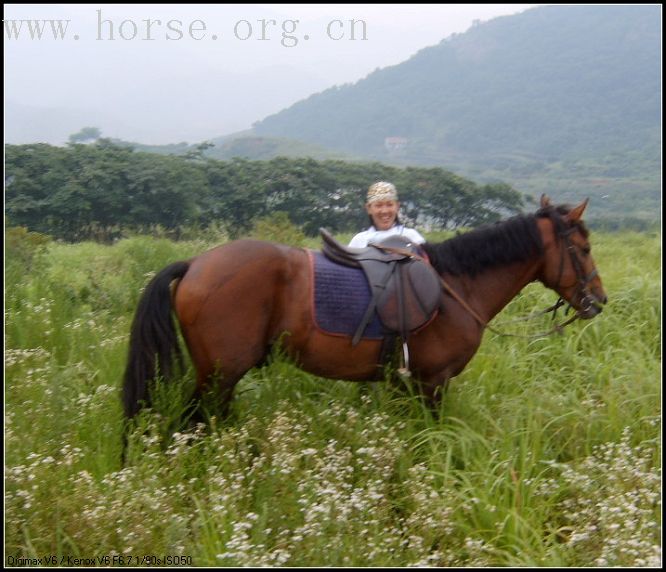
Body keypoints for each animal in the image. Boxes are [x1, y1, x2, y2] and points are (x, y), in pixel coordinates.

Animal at [122, 197, 604, 420]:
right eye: (583, 248)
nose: (597, 301)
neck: (456, 287)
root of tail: (196, 263)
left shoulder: (406, 385)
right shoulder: (433, 384)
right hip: (218, 375)